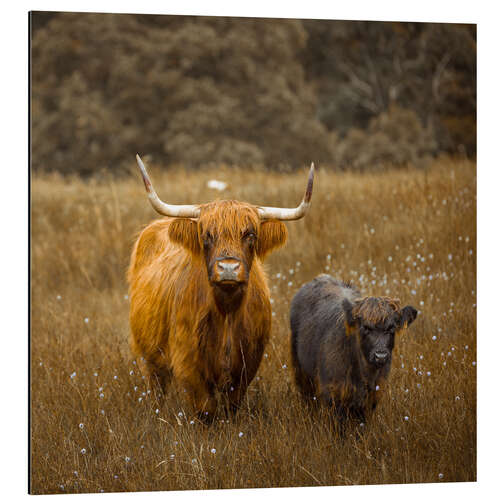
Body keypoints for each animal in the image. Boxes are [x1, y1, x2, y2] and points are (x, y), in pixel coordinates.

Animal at [130, 154, 316, 420]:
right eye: (206, 235)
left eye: (250, 234)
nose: (228, 268)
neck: (227, 312)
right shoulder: (189, 363)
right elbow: (206, 409)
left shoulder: (247, 364)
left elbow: (230, 407)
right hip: (149, 355)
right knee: (157, 389)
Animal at [290, 276, 418, 424]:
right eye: (365, 327)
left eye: (391, 328)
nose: (380, 356)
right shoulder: (333, 395)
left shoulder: (372, 398)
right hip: (301, 371)